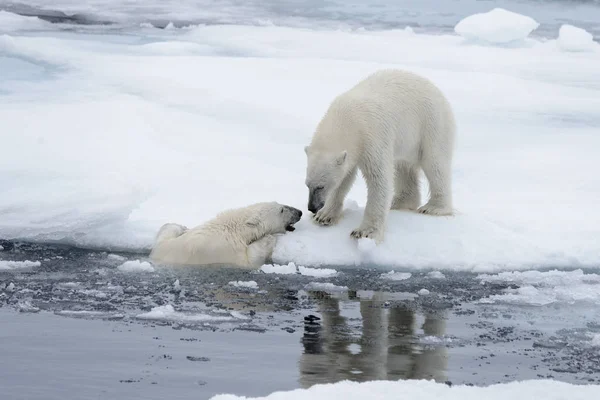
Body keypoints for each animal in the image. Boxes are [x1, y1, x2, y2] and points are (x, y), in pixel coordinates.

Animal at [148, 203, 302, 268]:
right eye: (281, 210)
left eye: (281, 204)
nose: (299, 212)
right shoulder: (226, 251)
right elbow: (250, 261)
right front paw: (268, 238)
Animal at [304, 69, 454, 242]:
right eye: (307, 184)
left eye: (321, 186)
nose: (312, 207)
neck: (348, 119)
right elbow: (345, 178)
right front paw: (324, 216)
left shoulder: (372, 135)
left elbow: (378, 178)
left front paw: (365, 232)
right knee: (403, 166)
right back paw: (399, 202)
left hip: (431, 124)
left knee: (435, 163)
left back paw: (433, 208)